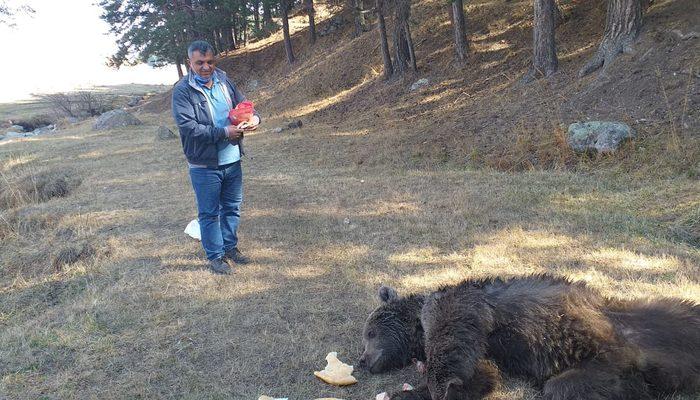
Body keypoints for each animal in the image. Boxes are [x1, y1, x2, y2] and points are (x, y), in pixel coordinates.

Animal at [360, 276, 700, 400]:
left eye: (369, 332)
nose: (363, 360)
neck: (418, 328)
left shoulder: (457, 308)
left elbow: (450, 350)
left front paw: (438, 386)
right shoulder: (488, 351)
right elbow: (482, 377)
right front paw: (406, 392)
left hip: (647, 317)